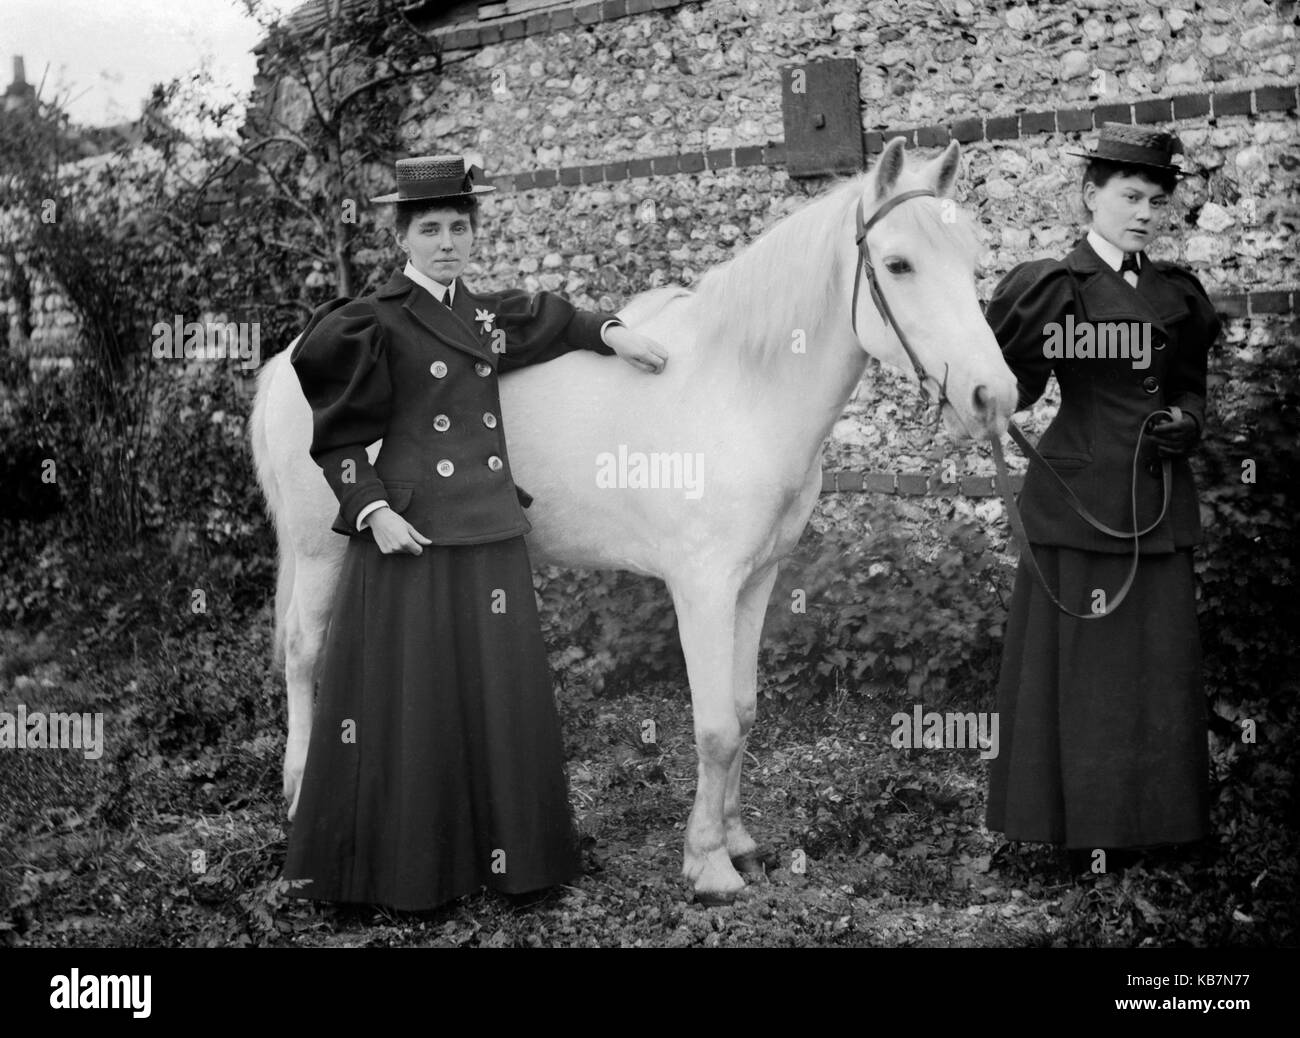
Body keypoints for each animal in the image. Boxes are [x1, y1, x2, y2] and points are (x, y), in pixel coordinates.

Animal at [248, 137, 1019, 900]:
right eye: (898, 264)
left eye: (972, 259)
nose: (995, 396)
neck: (738, 391)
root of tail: (293, 359)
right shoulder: (703, 586)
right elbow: (714, 727)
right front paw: (708, 865)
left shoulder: (758, 580)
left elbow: (743, 712)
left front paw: (738, 840)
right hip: (324, 550)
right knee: (305, 654)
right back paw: (300, 794)